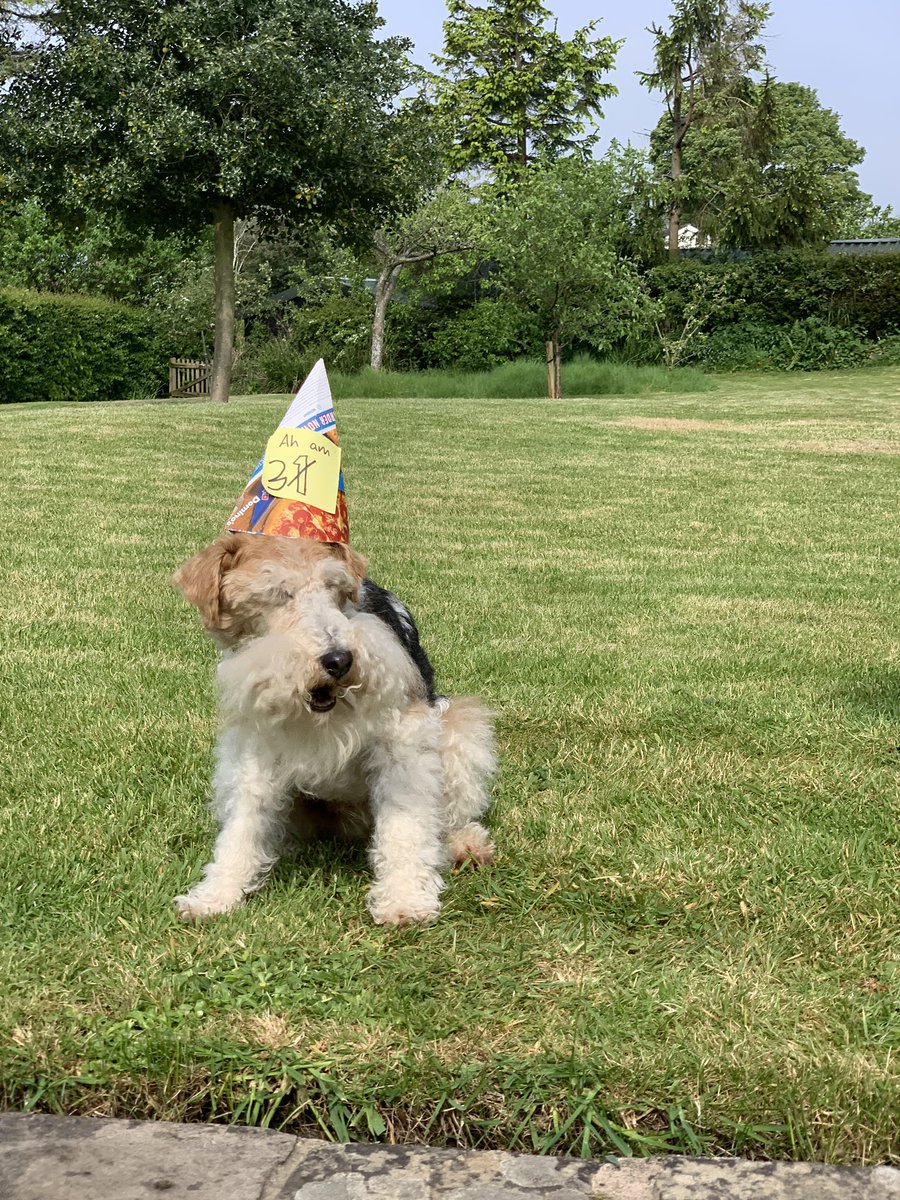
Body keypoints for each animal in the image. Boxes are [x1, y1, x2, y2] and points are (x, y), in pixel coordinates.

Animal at [172, 537, 496, 926]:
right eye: (277, 592)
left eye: (336, 589)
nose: (340, 660)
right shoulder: (256, 745)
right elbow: (243, 823)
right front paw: (215, 895)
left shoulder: (402, 739)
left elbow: (405, 824)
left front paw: (404, 901)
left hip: (460, 730)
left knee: (452, 815)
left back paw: (467, 845)